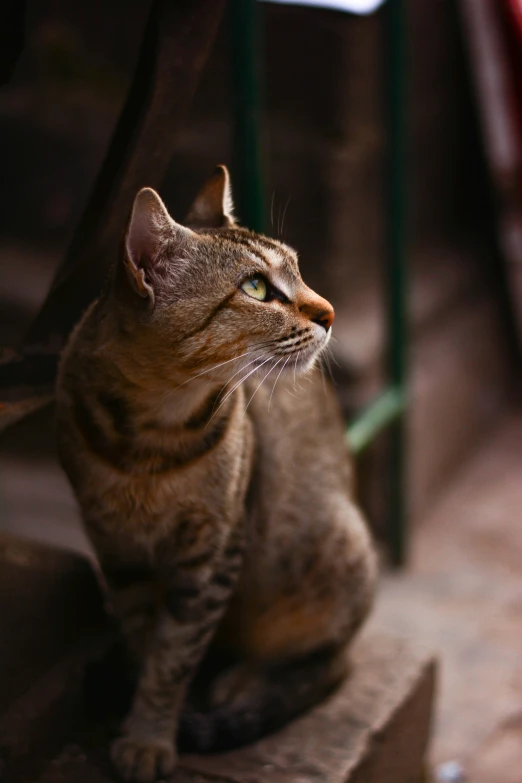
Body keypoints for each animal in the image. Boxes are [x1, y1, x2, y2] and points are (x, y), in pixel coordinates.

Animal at [54, 165, 376, 783]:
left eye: (297, 269)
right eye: (256, 288)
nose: (329, 312)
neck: (149, 441)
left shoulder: (215, 547)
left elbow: (174, 658)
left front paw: (151, 736)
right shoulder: (116, 547)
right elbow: (146, 642)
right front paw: (139, 714)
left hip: (337, 550)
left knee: (331, 662)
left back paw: (241, 681)